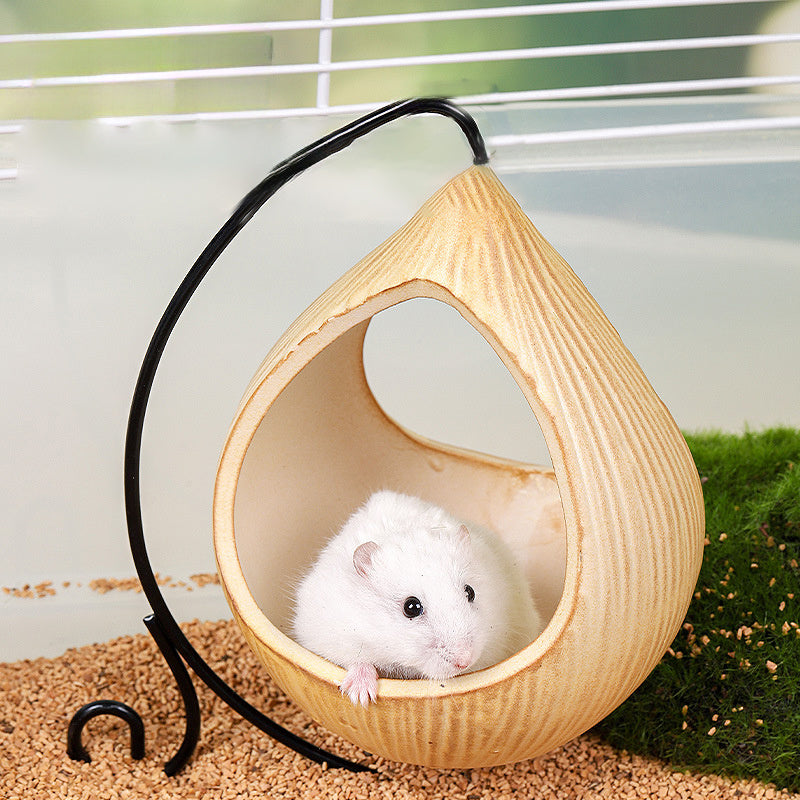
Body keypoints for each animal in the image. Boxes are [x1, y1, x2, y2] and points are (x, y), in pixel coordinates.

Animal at [291, 490, 544, 706]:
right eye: (411, 607)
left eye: (470, 592)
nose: (465, 660)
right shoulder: (328, 634)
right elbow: (357, 659)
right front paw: (361, 697)